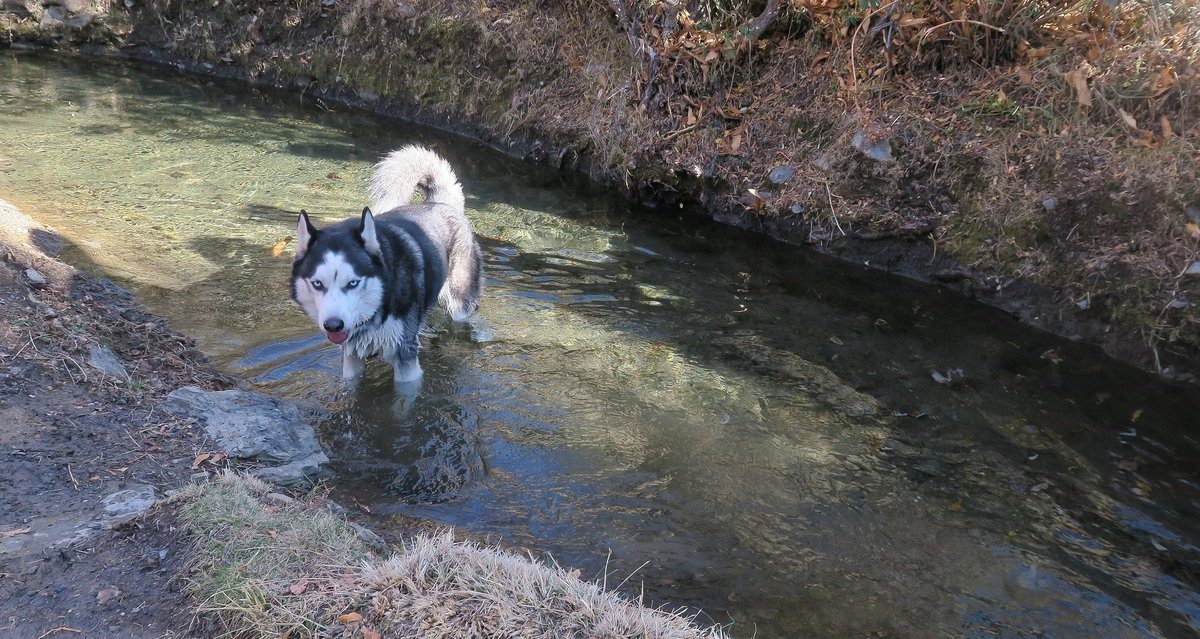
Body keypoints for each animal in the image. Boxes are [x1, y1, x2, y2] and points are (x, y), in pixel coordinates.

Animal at [290, 147, 482, 381]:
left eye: (353, 283)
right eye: (317, 284)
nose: (333, 326)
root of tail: (440, 203)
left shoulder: (406, 358)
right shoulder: (351, 355)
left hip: (458, 302)